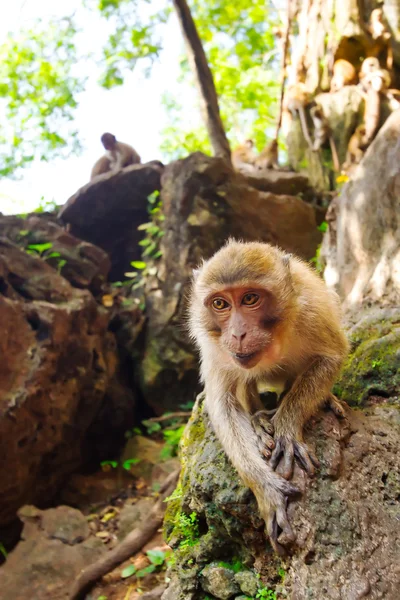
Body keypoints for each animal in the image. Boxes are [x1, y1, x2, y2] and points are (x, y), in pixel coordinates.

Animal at [189, 239, 348, 552]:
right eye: (220, 303)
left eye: (250, 299)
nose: (237, 334)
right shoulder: (215, 346)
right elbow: (222, 404)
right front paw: (265, 487)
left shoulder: (311, 310)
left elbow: (331, 357)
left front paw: (286, 426)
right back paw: (259, 421)